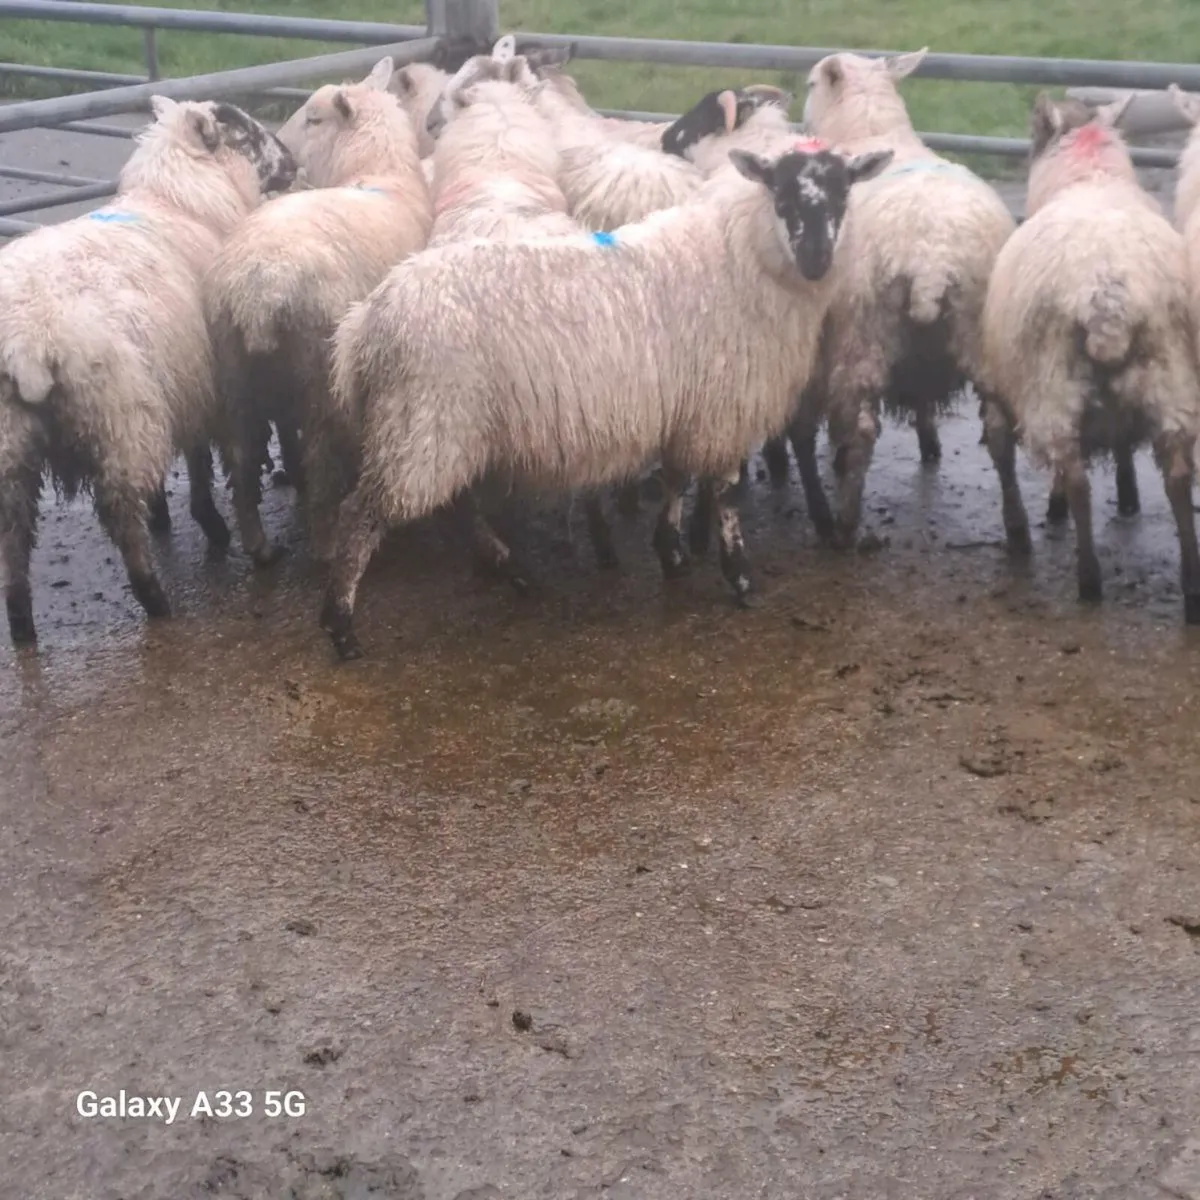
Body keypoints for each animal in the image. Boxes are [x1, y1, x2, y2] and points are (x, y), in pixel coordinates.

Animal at [0, 97, 295, 646]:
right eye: (245, 132)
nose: (292, 160)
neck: (179, 203)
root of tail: (29, 341)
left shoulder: (182, 377)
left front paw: (180, 513)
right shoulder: (209, 382)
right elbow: (213, 461)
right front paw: (220, 525)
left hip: (11, 449)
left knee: (13, 535)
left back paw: (22, 625)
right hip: (119, 417)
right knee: (120, 513)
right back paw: (154, 598)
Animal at [203, 57, 432, 566]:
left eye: (313, 118)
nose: (286, 152)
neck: (379, 173)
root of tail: (257, 290)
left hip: (233, 377)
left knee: (240, 460)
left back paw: (259, 546)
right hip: (319, 376)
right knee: (320, 459)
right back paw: (324, 542)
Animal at [317, 140, 894, 659]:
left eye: (844, 192)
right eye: (781, 194)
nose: (818, 259)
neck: (742, 258)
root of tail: (363, 323)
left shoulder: (688, 409)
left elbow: (677, 478)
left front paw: (673, 554)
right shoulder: (721, 410)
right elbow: (724, 493)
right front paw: (740, 577)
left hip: (439, 426)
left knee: (451, 507)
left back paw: (510, 568)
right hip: (425, 418)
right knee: (361, 516)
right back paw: (342, 627)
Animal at [979, 92, 1200, 624]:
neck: (1090, 176)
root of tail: (1107, 294)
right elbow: (1121, 445)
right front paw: (1128, 495)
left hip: (1051, 386)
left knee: (1076, 478)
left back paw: (1088, 580)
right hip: (1170, 376)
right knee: (1179, 478)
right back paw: (1191, 589)